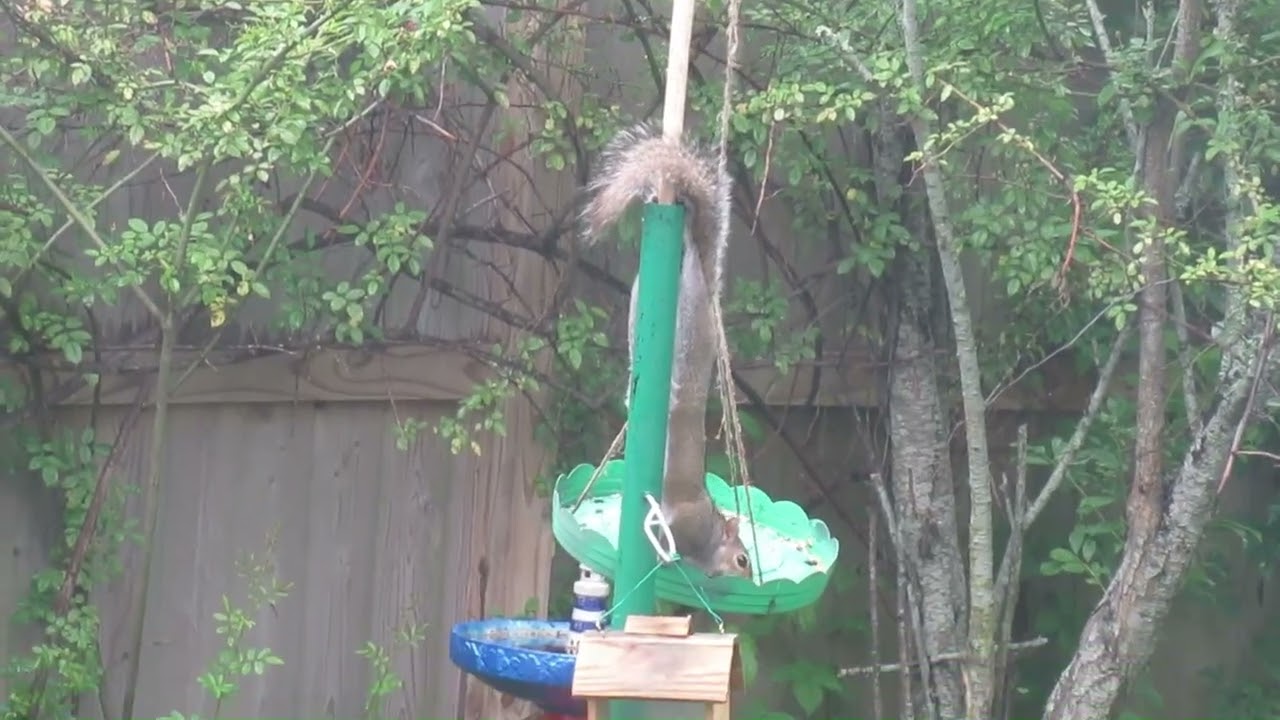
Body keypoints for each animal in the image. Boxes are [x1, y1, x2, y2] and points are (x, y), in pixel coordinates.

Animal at [582, 123, 752, 580]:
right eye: (743, 559)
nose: (749, 579)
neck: (709, 537)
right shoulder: (684, 523)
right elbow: (668, 533)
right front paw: (665, 555)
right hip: (683, 318)